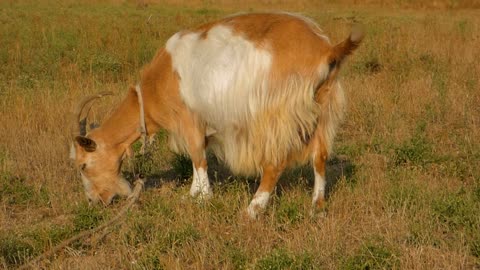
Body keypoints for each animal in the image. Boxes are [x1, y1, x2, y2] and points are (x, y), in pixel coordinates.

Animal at [70, 13, 364, 219]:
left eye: (83, 165)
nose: (94, 201)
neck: (156, 85)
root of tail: (325, 49)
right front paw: (195, 195)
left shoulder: (189, 119)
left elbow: (198, 158)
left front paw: (200, 198)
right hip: (323, 108)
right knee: (319, 156)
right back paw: (317, 208)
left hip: (275, 114)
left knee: (275, 162)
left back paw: (252, 210)